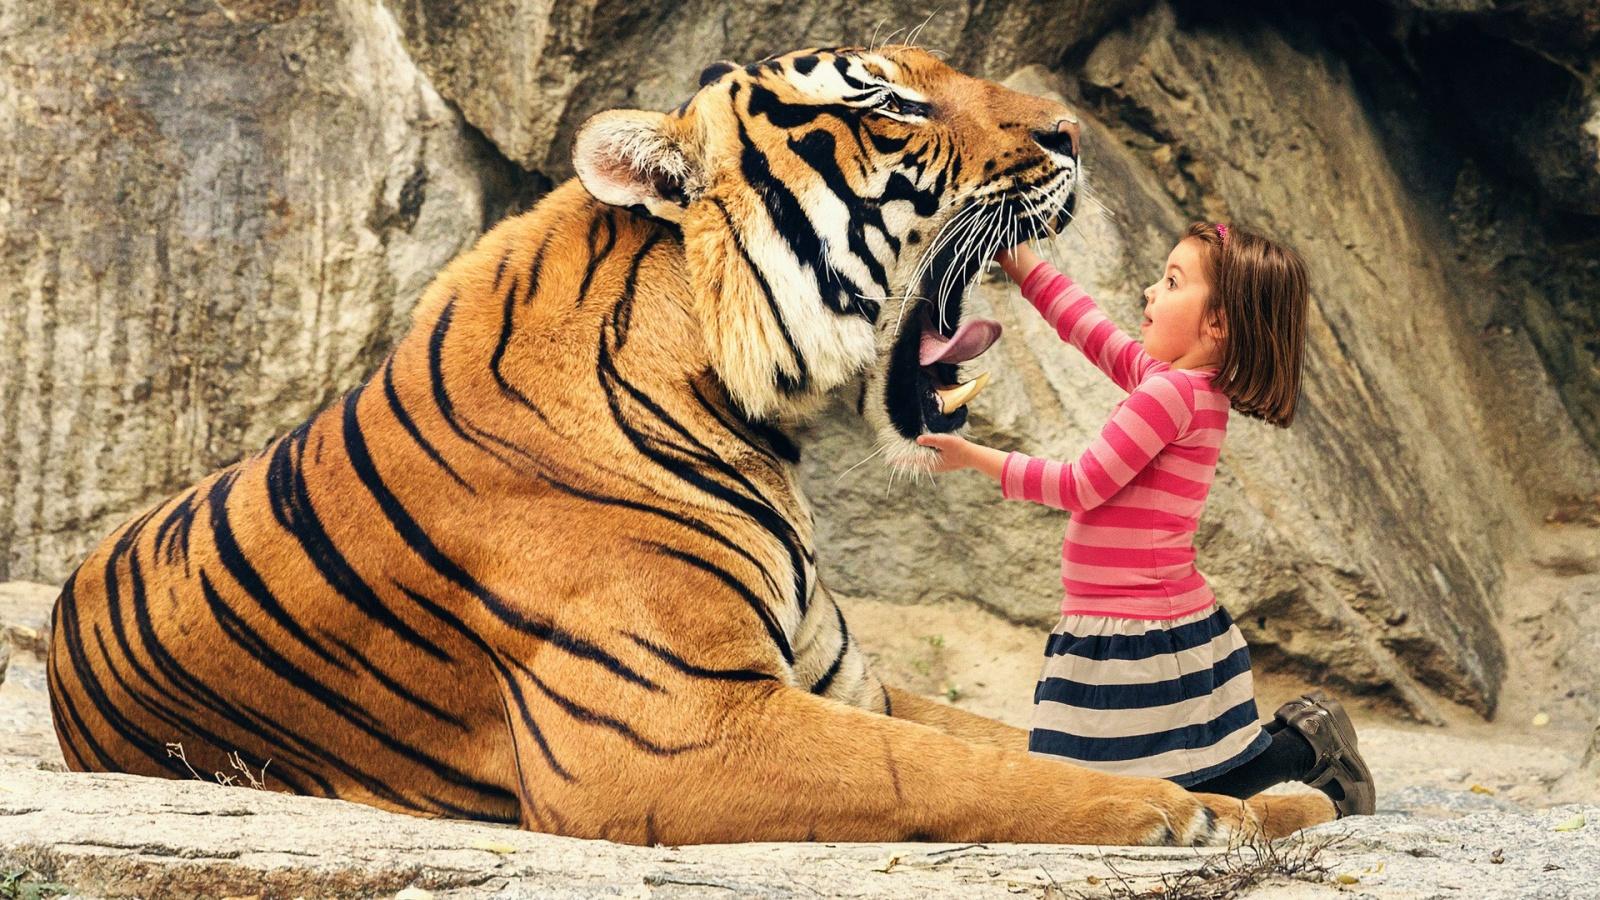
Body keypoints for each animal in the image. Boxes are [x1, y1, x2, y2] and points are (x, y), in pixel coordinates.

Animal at [47, 45, 1334, 845]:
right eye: (890, 106)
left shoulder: (841, 679)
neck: (752, 416)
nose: (1069, 133)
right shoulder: (676, 728)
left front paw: (1286, 799)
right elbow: (973, 767)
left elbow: (1017, 738)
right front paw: (1205, 812)